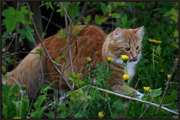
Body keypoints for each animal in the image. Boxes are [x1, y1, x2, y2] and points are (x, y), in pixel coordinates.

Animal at [2, 24, 143, 99]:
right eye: (127, 49)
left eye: (137, 48)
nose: (135, 57)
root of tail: (46, 41)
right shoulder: (111, 85)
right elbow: (129, 91)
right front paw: (140, 95)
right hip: (60, 77)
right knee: (58, 94)